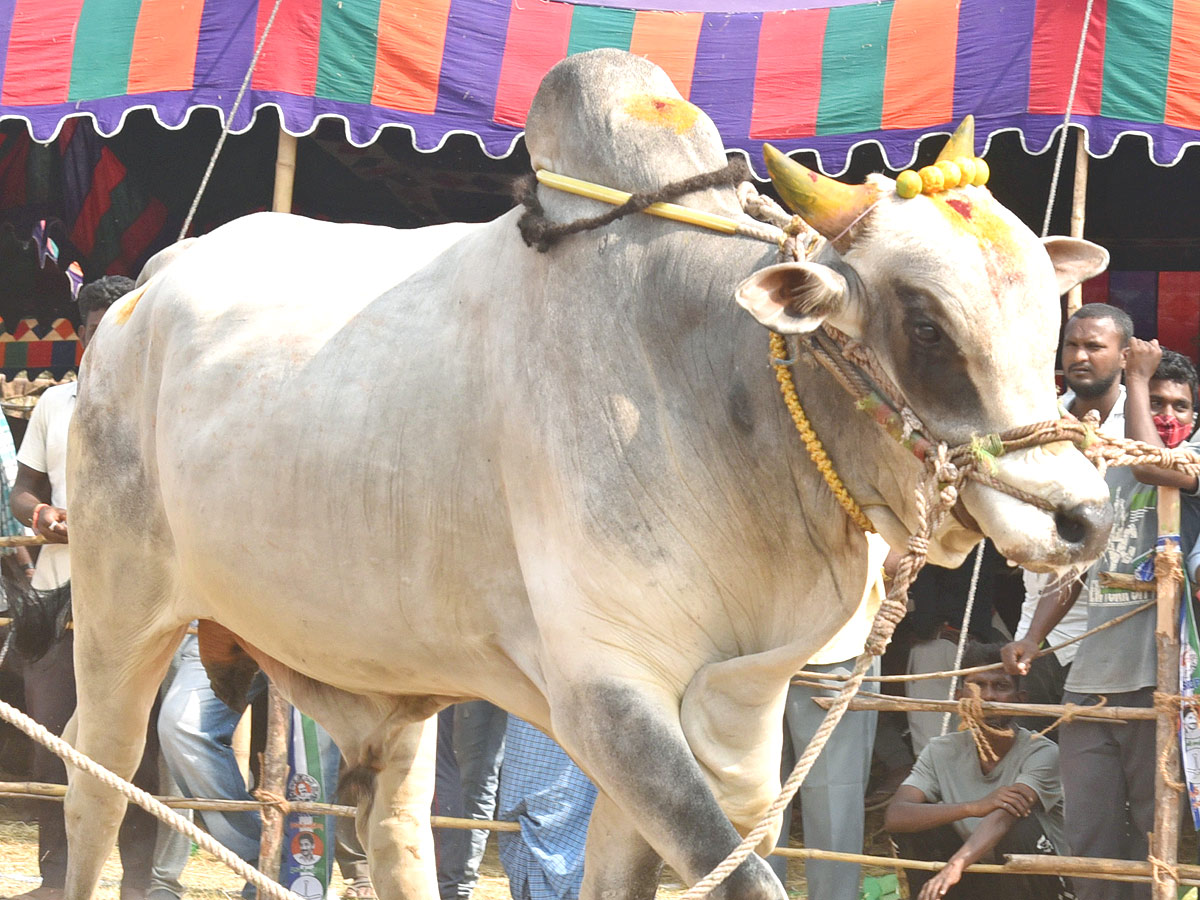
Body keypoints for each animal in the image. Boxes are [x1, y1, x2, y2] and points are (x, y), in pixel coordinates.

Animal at [58, 52, 1104, 900]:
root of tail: (147, 288)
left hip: (370, 674)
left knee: (390, 821)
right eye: (925, 324)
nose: (1082, 518)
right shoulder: (608, 690)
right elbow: (738, 877)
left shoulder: (718, 709)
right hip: (117, 617)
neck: (721, 389)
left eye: (1048, 316)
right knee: (91, 787)